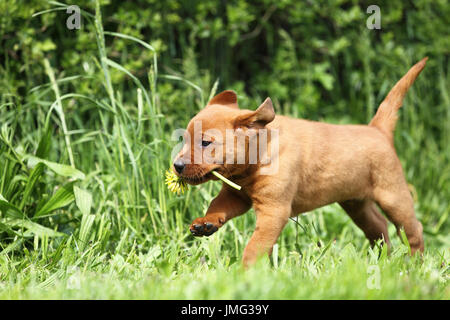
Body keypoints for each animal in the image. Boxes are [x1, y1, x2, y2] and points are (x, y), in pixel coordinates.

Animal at [174, 57, 428, 268]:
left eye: (205, 143)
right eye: (185, 139)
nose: (176, 166)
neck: (257, 159)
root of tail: (378, 130)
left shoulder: (274, 210)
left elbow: (255, 246)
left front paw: (247, 272)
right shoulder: (235, 196)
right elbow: (216, 205)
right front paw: (205, 223)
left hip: (393, 196)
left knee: (413, 229)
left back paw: (415, 263)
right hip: (356, 203)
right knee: (379, 227)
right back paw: (382, 258)